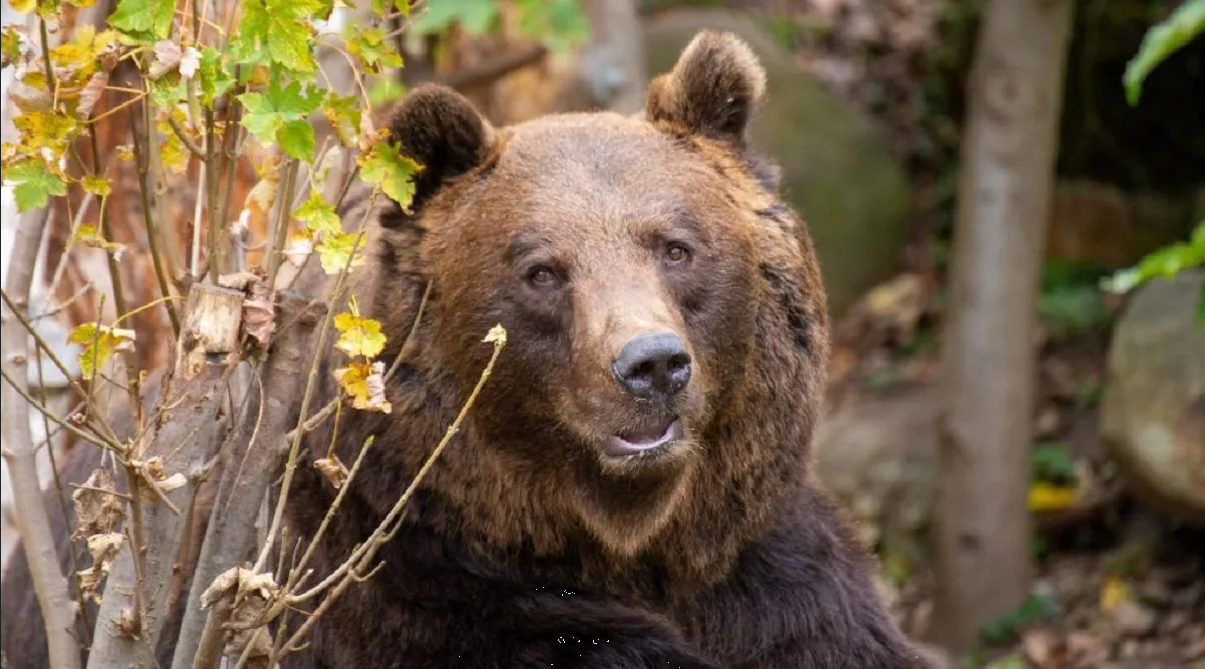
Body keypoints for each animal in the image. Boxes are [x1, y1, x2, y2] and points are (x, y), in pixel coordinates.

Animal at [0, 30, 931, 669]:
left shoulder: (772, 580)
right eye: (542, 270)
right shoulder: (389, 590)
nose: (652, 364)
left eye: (675, 245)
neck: (623, 544)